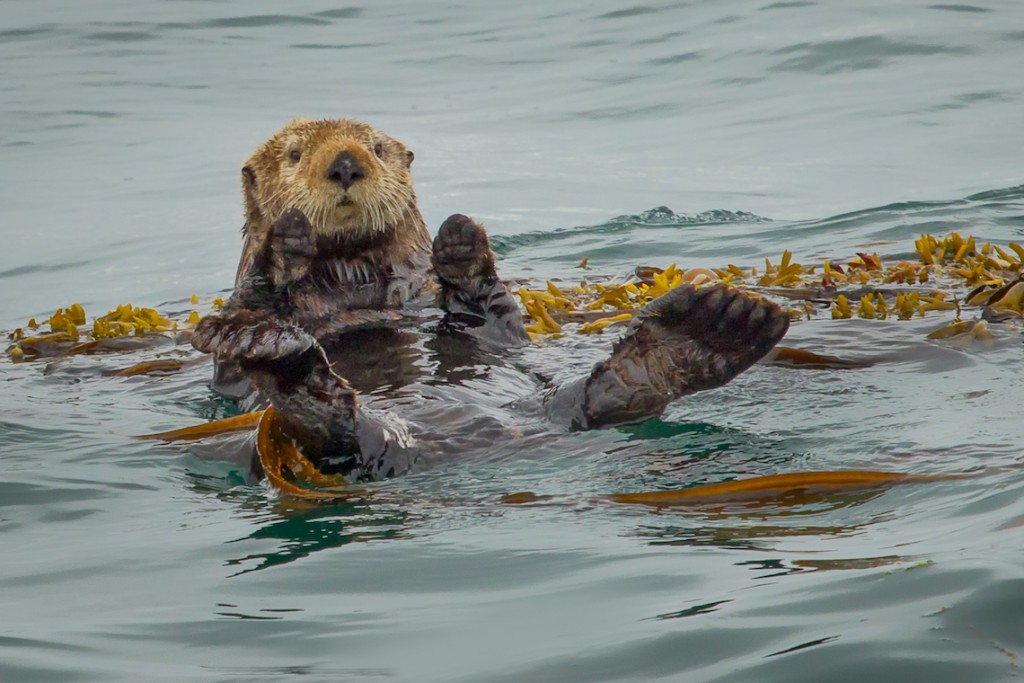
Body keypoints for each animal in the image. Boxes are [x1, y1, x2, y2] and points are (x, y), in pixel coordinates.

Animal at [192, 118, 790, 481]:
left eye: (378, 149)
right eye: (295, 154)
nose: (344, 162)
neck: (350, 277)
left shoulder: (439, 299)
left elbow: (494, 321)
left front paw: (461, 244)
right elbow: (241, 319)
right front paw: (284, 244)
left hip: (545, 404)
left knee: (594, 400)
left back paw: (700, 336)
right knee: (331, 430)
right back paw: (289, 368)